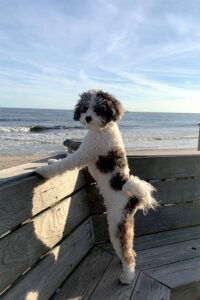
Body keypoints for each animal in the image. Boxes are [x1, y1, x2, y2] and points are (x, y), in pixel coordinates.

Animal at [36, 89, 157, 284]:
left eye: (99, 109)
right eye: (85, 108)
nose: (87, 118)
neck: (103, 129)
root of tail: (132, 199)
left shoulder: (85, 153)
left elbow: (66, 163)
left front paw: (44, 171)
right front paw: (51, 161)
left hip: (116, 225)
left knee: (128, 254)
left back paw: (127, 276)